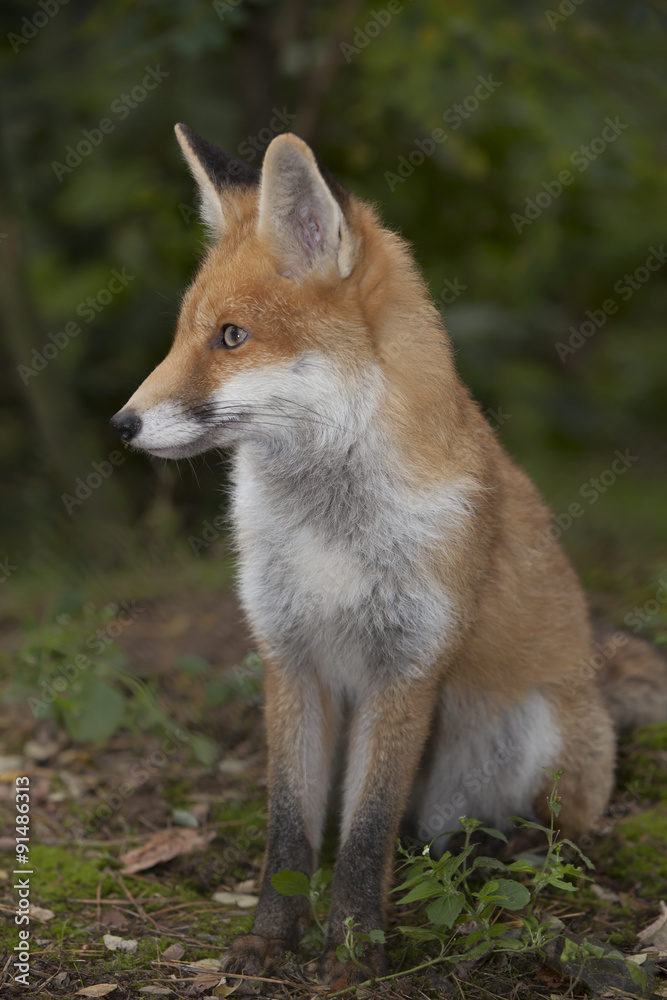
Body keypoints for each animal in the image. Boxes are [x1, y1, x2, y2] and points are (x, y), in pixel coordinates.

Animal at [111, 125, 667, 984]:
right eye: (181, 336)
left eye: (230, 337)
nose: (122, 425)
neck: (328, 534)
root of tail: (595, 690)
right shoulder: (289, 658)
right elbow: (290, 834)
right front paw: (271, 941)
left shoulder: (405, 666)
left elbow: (365, 831)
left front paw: (351, 949)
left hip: (517, 735)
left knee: (533, 834)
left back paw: (494, 857)